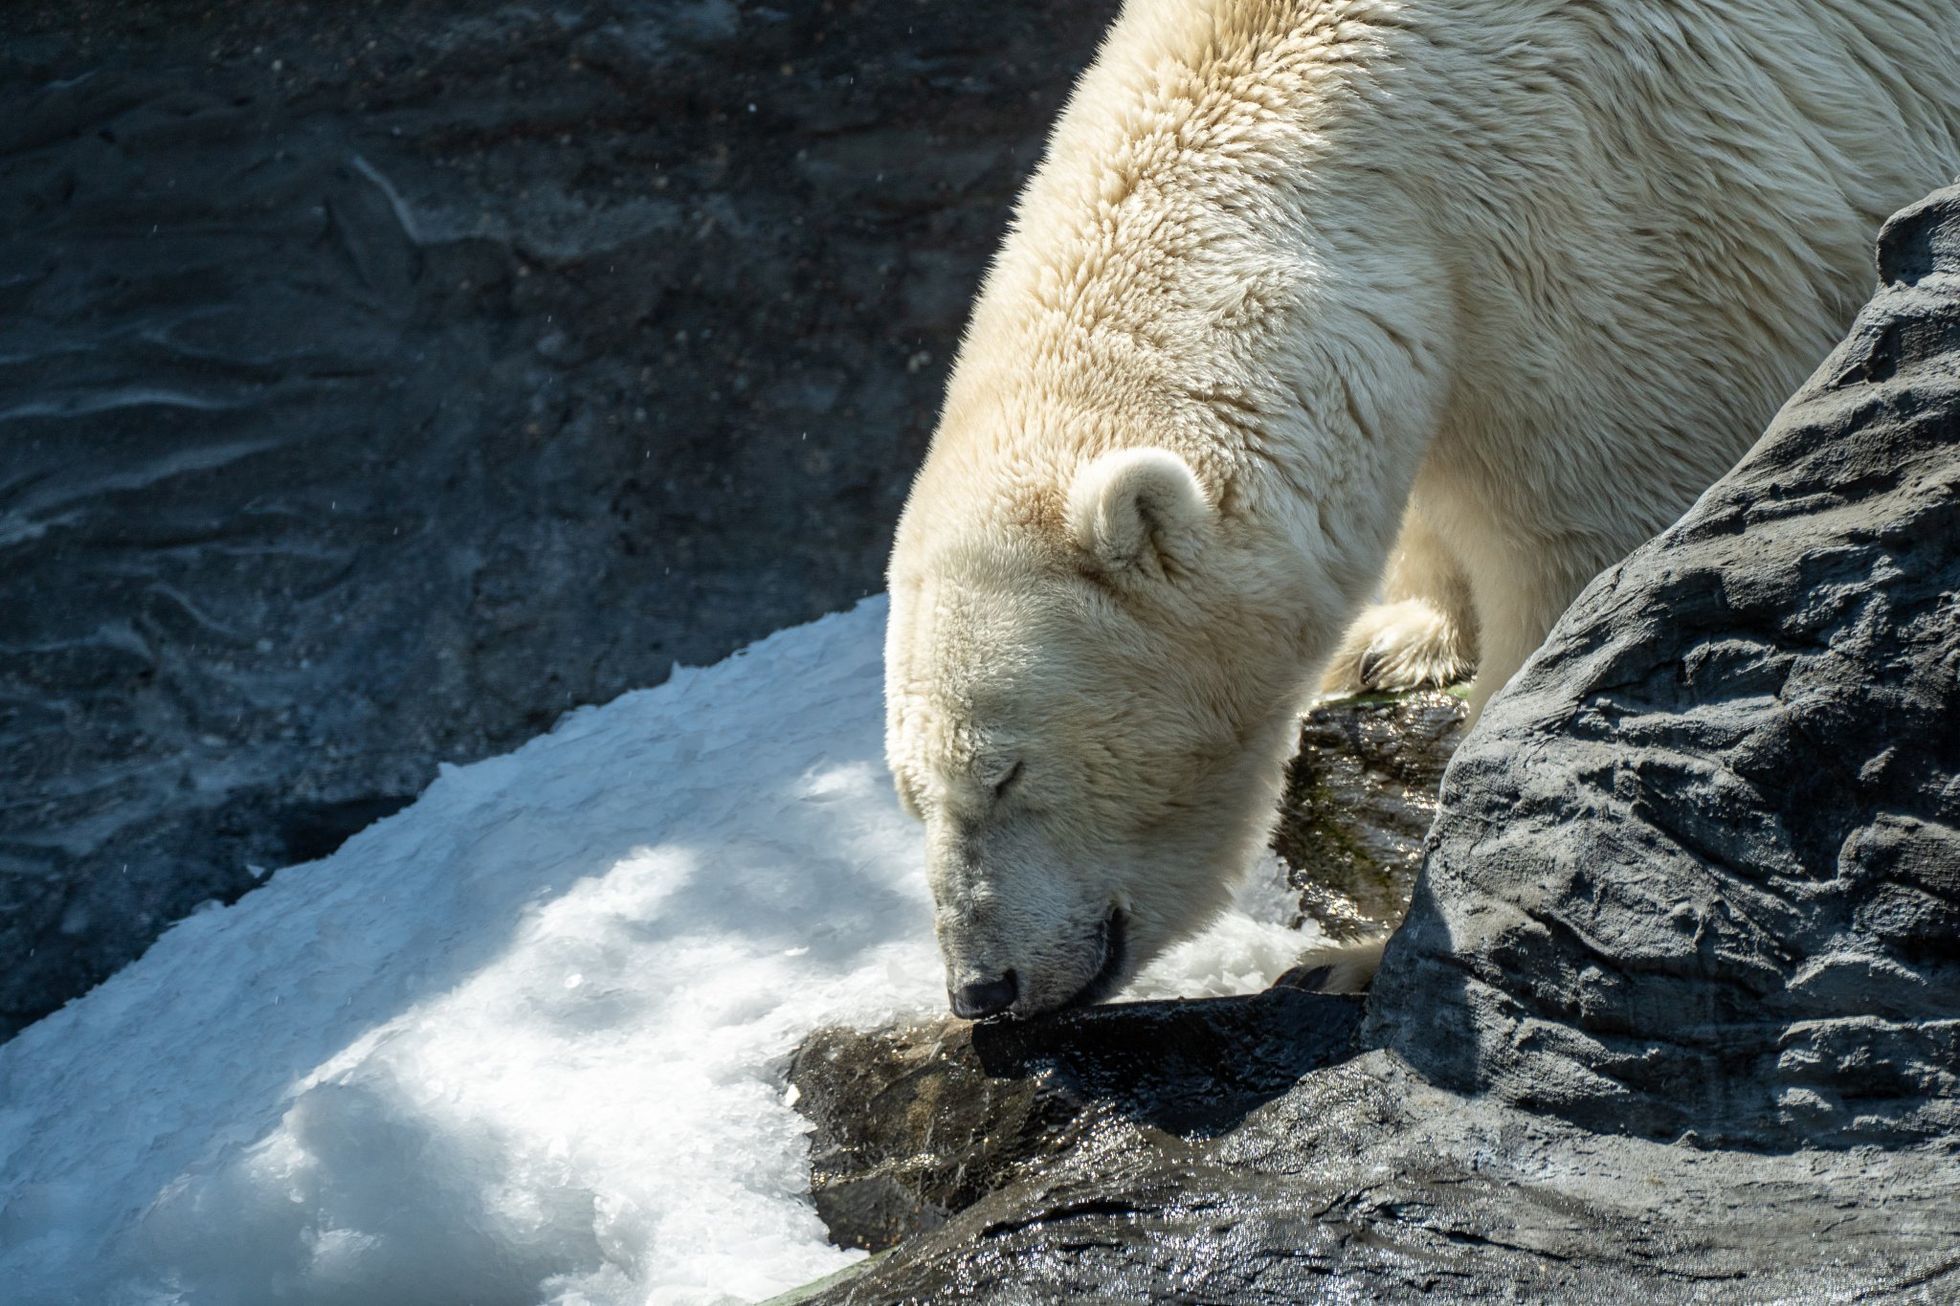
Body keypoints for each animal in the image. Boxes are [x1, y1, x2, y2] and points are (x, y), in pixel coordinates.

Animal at [889, 0, 1960, 1019]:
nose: (980, 990)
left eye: (1006, 773)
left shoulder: (1611, 249)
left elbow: (1580, 594)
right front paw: (1393, 640)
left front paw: (1359, 957)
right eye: (913, 794)